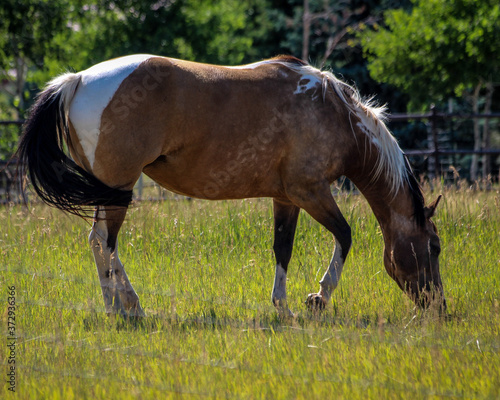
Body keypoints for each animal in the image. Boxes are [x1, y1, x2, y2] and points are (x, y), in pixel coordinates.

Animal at [15, 54, 446, 316]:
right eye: (435, 247)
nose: (439, 306)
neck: (333, 110)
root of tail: (77, 80)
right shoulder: (311, 192)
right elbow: (344, 235)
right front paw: (318, 298)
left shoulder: (286, 198)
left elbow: (282, 249)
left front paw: (283, 307)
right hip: (118, 185)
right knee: (103, 241)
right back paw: (119, 308)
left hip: (111, 189)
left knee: (102, 242)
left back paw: (128, 306)